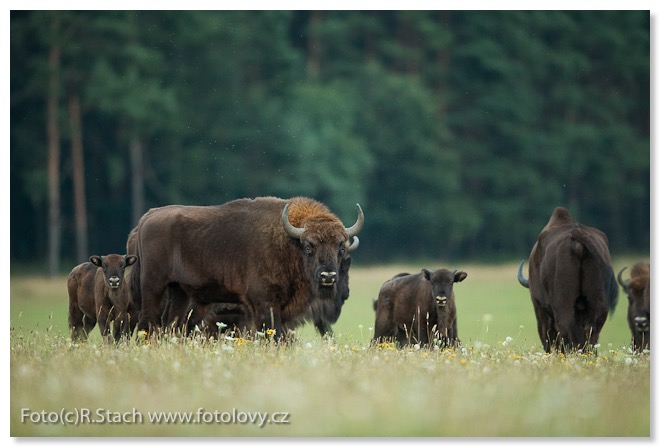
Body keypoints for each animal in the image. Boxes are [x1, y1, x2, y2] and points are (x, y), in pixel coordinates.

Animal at [131, 196, 364, 340]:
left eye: (341, 247)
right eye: (309, 246)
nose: (328, 276)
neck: (287, 243)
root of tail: (146, 218)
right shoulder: (265, 305)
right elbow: (272, 334)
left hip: (179, 290)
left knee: (171, 324)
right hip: (153, 286)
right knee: (148, 321)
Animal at [520, 207, 620, 354]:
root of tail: (577, 237)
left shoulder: (538, 305)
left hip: (563, 304)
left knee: (566, 330)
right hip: (599, 303)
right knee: (591, 331)